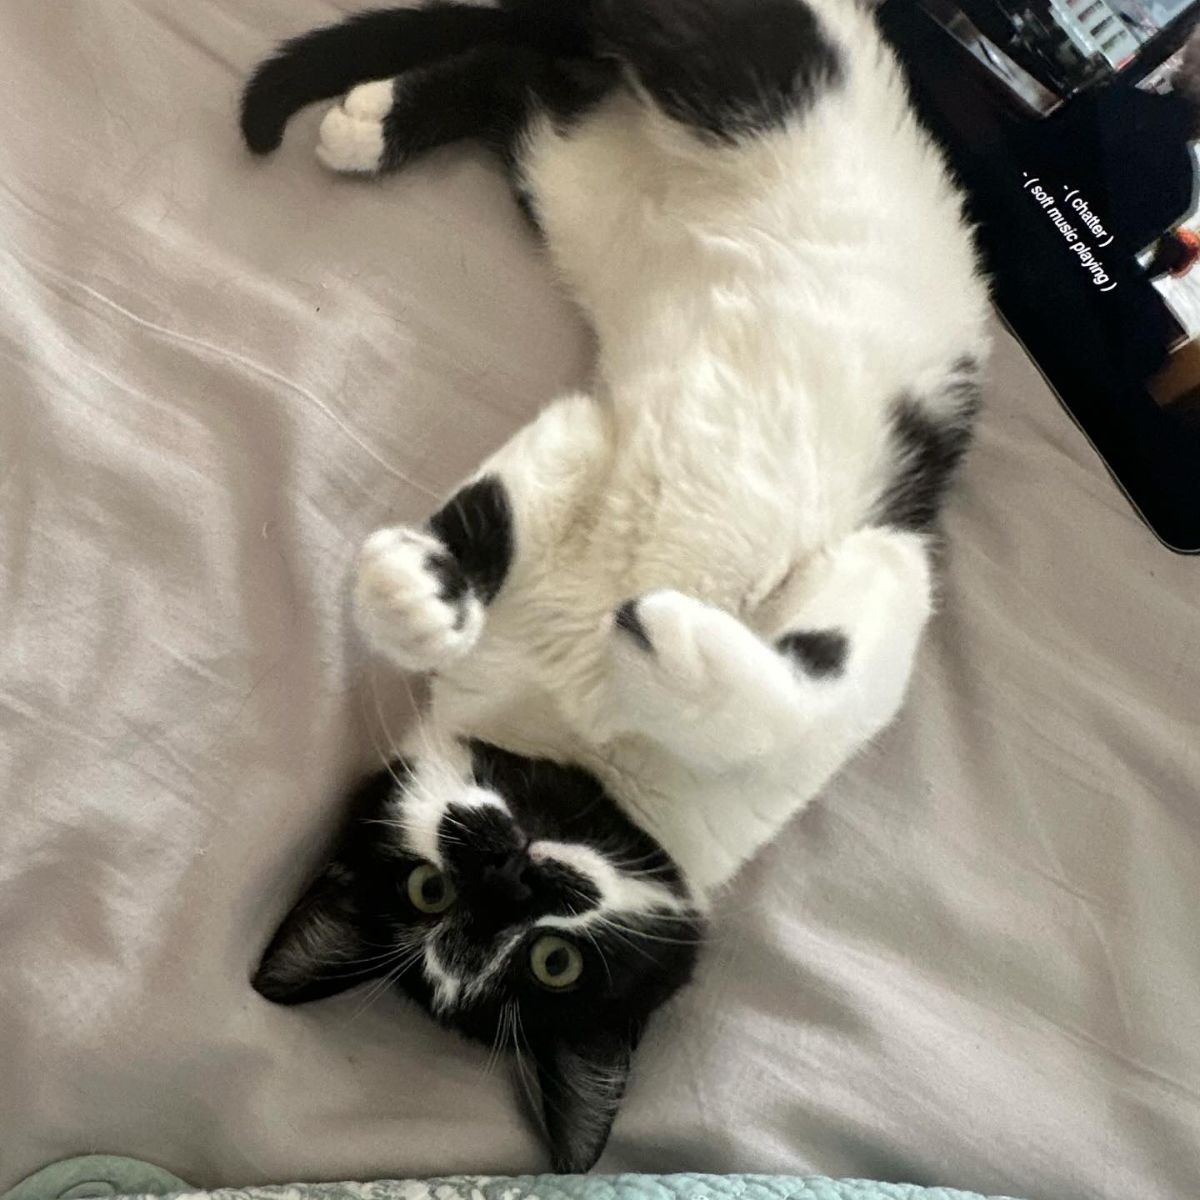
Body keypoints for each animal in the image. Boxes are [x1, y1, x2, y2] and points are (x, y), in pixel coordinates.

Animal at [238, 0, 988, 1176]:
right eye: (428, 893)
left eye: (553, 963)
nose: (511, 870)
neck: (587, 758)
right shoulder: (590, 452)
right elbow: (504, 511)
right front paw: (414, 596)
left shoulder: (881, 580)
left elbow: (796, 685)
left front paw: (671, 636)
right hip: (621, 128)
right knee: (526, 51)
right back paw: (371, 121)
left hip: (662, 105)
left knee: (542, 50)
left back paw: (373, 118)